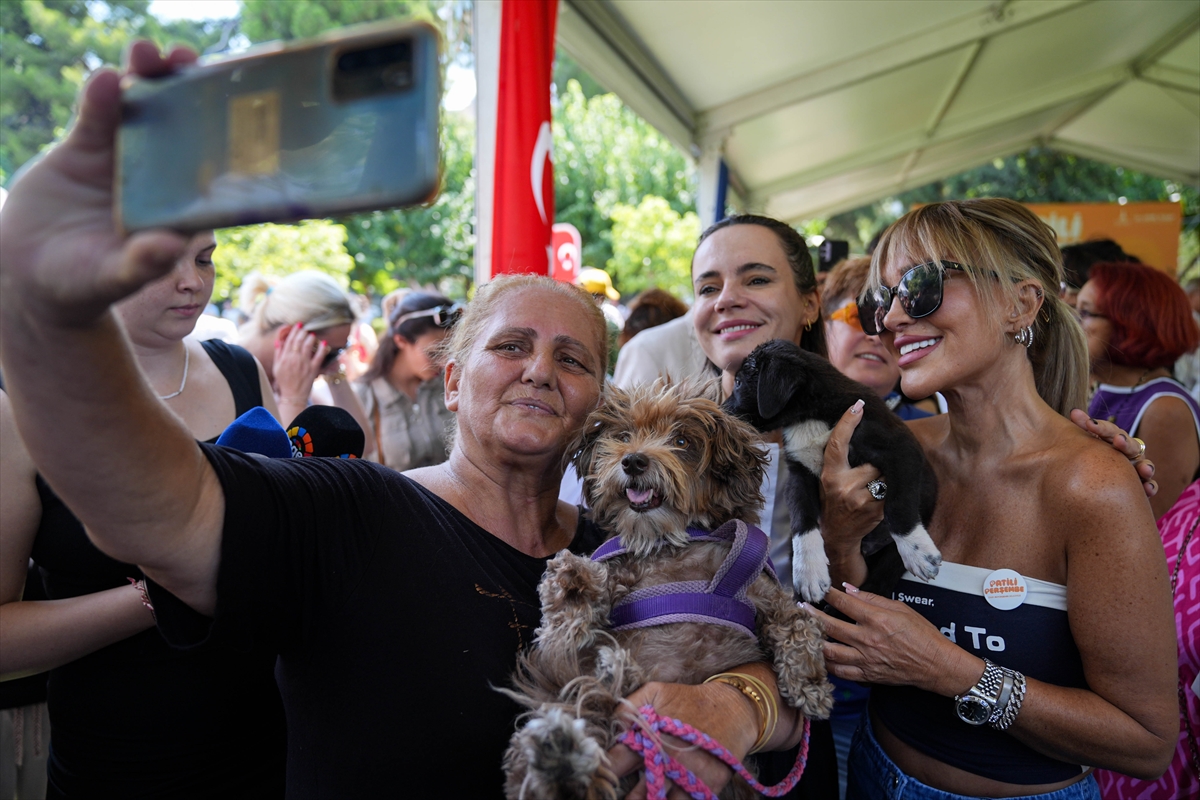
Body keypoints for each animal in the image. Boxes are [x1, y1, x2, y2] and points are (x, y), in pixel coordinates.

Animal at [501, 381, 830, 800]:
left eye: (682, 440)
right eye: (624, 436)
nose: (633, 461)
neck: (666, 543)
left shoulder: (764, 593)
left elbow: (798, 624)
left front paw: (811, 685)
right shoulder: (616, 581)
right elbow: (562, 626)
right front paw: (572, 583)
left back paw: (566, 744)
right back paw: (562, 749)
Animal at [720, 338, 936, 599]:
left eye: (739, 383)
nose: (719, 410)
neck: (808, 415)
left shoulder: (901, 449)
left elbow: (899, 505)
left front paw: (917, 550)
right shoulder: (799, 475)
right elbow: (802, 519)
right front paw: (809, 571)